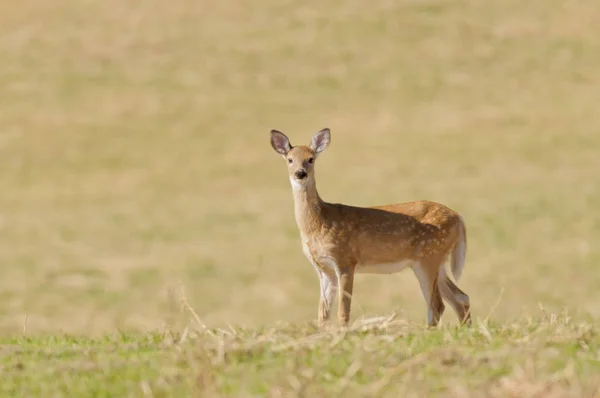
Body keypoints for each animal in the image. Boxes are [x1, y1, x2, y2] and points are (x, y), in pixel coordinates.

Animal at [270, 128, 472, 330]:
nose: (300, 173)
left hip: (428, 257)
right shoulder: (324, 269)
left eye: (310, 159)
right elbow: (323, 314)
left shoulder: (346, 260)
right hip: (437, 260)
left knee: (438, 304)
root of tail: (459, 217)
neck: (318, 223)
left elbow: (343, 311)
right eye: (290, 159)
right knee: (460, 297)